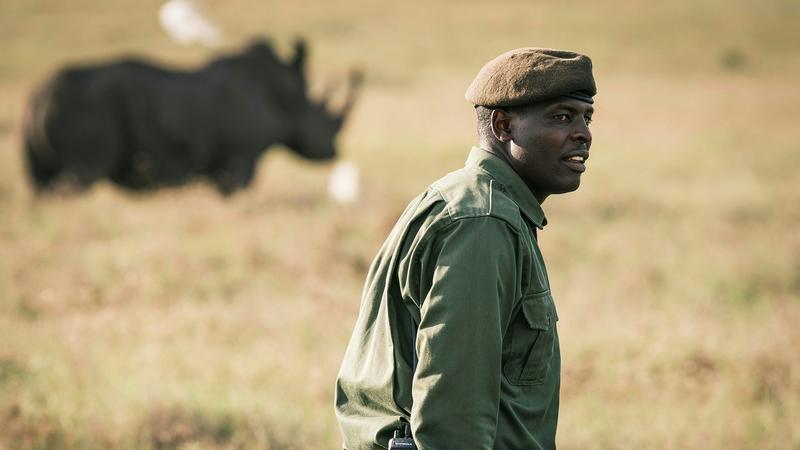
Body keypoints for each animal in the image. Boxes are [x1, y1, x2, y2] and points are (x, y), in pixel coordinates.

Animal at [22, 39, 362, 195]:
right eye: (322, 119)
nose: (333, 152)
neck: (287, 98)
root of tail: (39, 97)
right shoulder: (240, 156)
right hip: (84, 113)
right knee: (82, 179)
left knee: (43, 187)